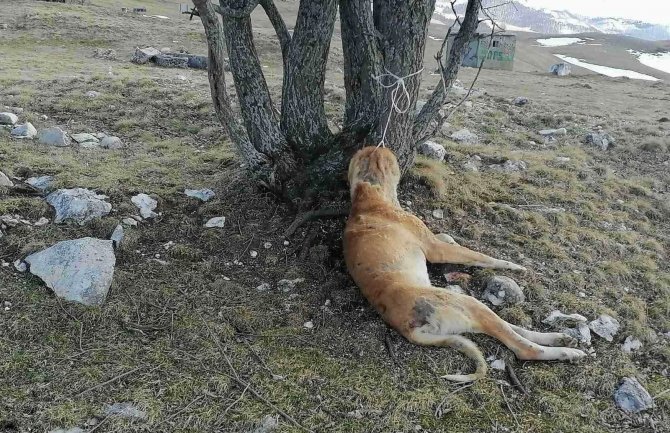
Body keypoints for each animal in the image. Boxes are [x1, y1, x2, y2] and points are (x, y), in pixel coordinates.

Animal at [344, 146, 584, 382]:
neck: (369, 197)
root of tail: (406, 326)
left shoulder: (433, 242)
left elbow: (447, 238)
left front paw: (451, 237)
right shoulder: (435, 249)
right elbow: (479, 256)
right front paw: (511, 265)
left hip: (468, 313)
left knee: (511, 328)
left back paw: (561, 338)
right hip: (468, 304)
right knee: (522, 347)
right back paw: (566, 352)